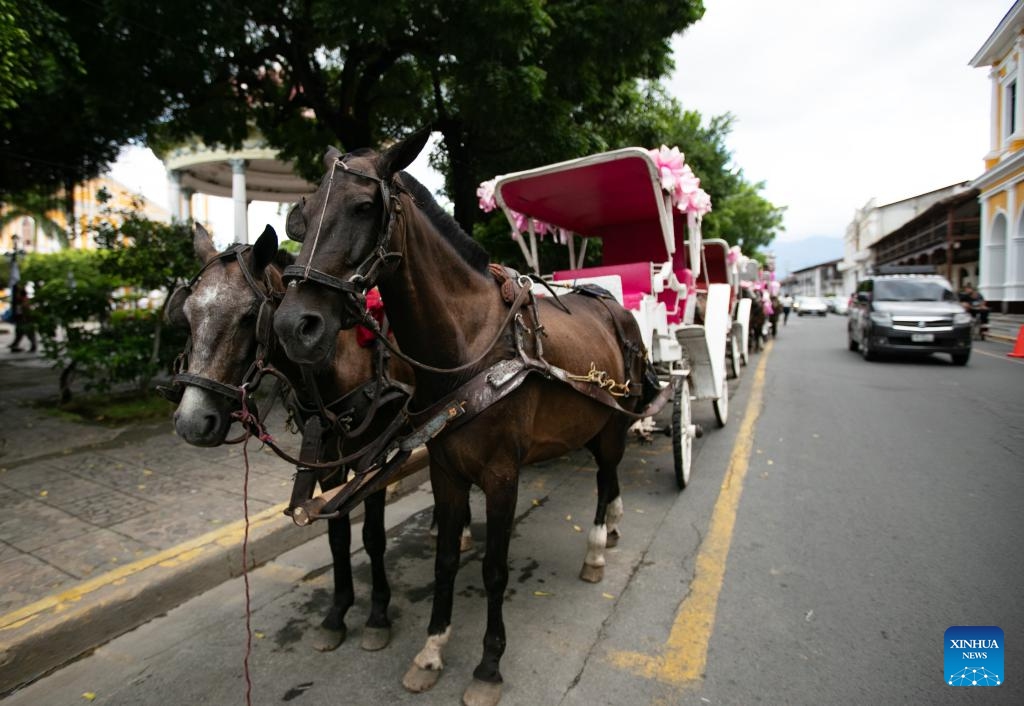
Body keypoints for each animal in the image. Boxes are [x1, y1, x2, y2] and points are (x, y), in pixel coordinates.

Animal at [270, 130, 655, 704]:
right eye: (306, 213)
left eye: (364, 207)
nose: (295, 325)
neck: (471, 344)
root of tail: (611, 303)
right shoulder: (445, 470)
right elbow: (446, 558)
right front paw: (431, 650)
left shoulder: (501, 475)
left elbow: (494, 568)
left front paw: (488, 665)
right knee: (606, 481)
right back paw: (611, 526)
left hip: (614, 423)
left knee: (606, 476)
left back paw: (596, 549)